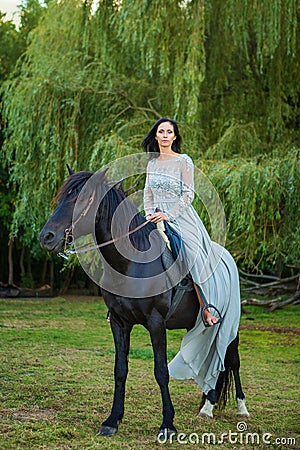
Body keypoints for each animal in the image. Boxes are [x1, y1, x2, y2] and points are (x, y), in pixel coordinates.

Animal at [40, 168, 251, 436]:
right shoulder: (119, 323)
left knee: (232, 360)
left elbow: (161, 372)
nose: (46, 237)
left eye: (83, 198)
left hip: (230, 325)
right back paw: (207, 407)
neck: (132, 264)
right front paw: (112, 420)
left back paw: (241, 408)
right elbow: (120, 369)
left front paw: (168, 424)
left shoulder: (155, 322)